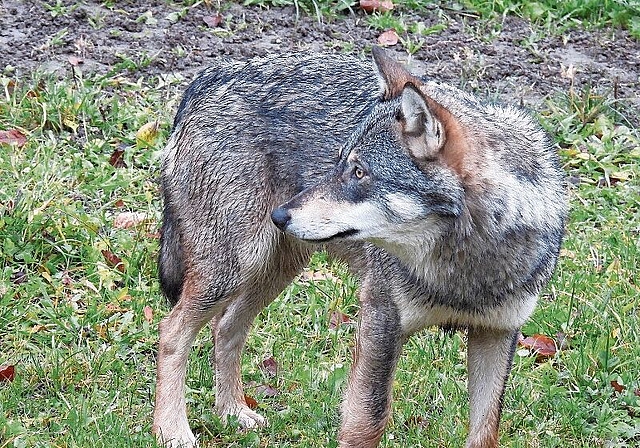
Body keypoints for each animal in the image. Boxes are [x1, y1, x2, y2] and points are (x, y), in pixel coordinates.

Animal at [152, 47, 568, 446]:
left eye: (358, 172)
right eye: (341, 165)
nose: (280, 215)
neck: (465, 271)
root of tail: (207, 77)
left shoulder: (497, 334)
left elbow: (485, 430)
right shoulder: (380, 323)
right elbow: (367, 420)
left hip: (273, 271)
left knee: (226, 327)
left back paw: (232, 412)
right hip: (233, 270)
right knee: (171, 331)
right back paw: (172, 430)